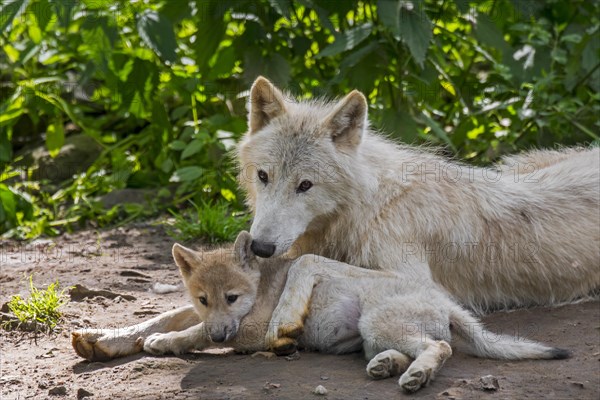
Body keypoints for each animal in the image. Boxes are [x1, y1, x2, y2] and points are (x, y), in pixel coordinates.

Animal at [238, 76, 600, 312]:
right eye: (263, 176)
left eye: (305, 185)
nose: (261, 247)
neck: (373, 206)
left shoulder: (419, 281)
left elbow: (306, 261)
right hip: (515, 164)